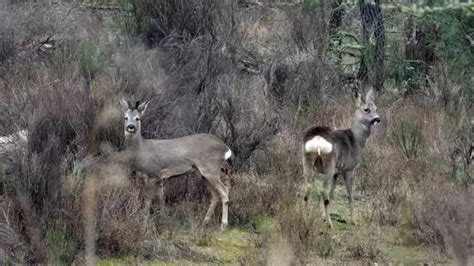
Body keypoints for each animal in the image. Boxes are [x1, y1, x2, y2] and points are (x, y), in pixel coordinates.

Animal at [119, 98, 232, 230]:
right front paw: (162, 218)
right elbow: (160, 199)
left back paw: (223, 225)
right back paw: (205, 222)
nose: (130, 127)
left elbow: (147, 201)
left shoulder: (152, 174)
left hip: (211, 169)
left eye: (138, 118)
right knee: (215, 195)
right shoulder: (157, 178)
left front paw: (143, 224)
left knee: (224, 191)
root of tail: (225, 148)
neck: (142, 149)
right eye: (125, 118)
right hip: (203, 174)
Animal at [304, 88, 382, 228]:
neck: (357, 140)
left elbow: (332, 194)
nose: (377, 119)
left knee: (308, 189)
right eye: (366, 109)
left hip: (308, 161)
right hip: (329, 163)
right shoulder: (348, 169)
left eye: (376, 108)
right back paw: (330, 224)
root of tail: (317, 139)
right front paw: (354, 220)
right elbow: (350, 195)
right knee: (323, 190)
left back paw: (305, 219)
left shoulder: (337, 172)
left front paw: (322, 216)